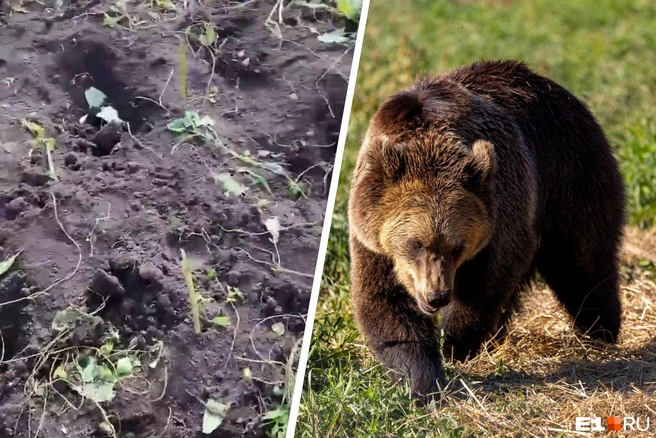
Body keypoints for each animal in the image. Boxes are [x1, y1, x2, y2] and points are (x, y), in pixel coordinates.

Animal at [347, 60, 625, 399]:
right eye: (416, 243)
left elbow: (488, 281)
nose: (437, 296)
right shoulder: (372, 238)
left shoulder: (501, 209)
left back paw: (600, 330)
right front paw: (422, 380)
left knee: (584, 261)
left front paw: (455, 343)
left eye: (458, 246)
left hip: (571, 177)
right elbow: (384, 301)